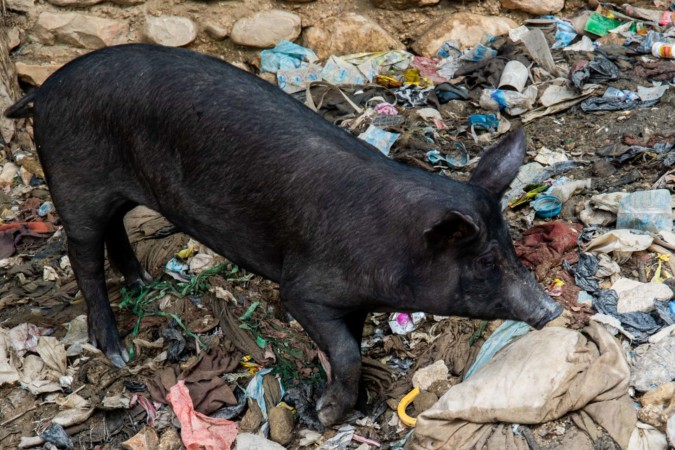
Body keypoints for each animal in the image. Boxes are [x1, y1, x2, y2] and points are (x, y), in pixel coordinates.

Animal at [5, 44, 564, 428]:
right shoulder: (304, 289)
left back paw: (143, 281)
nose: (552, 308)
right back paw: (117, 352)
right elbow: (344, 352)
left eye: (510, 245)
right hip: (74, 181)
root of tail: (45, 89)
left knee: (115, 227)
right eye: (486, 261)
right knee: (83, 255)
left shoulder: (351, 301)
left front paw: (349, 405)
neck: (394, 247)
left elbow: (350, 347)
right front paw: (322, 417)